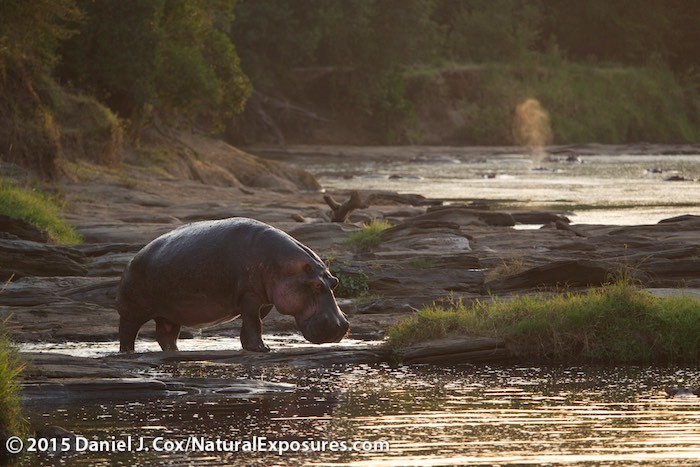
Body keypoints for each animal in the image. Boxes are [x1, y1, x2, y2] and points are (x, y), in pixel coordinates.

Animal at [116, 218, 349, 352]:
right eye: (317, 286)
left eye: (334, 282)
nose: (341, 326)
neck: (284, 266)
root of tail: (132, 260)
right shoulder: (249, 296)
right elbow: (254, 323)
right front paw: (263, 349)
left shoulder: (264, 302)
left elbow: (251, 323)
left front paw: (253, 347)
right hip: (133, 310)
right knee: (127, 332)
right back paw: (128, 353)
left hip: (169, 314)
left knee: (166, 336)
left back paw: (175, 352)